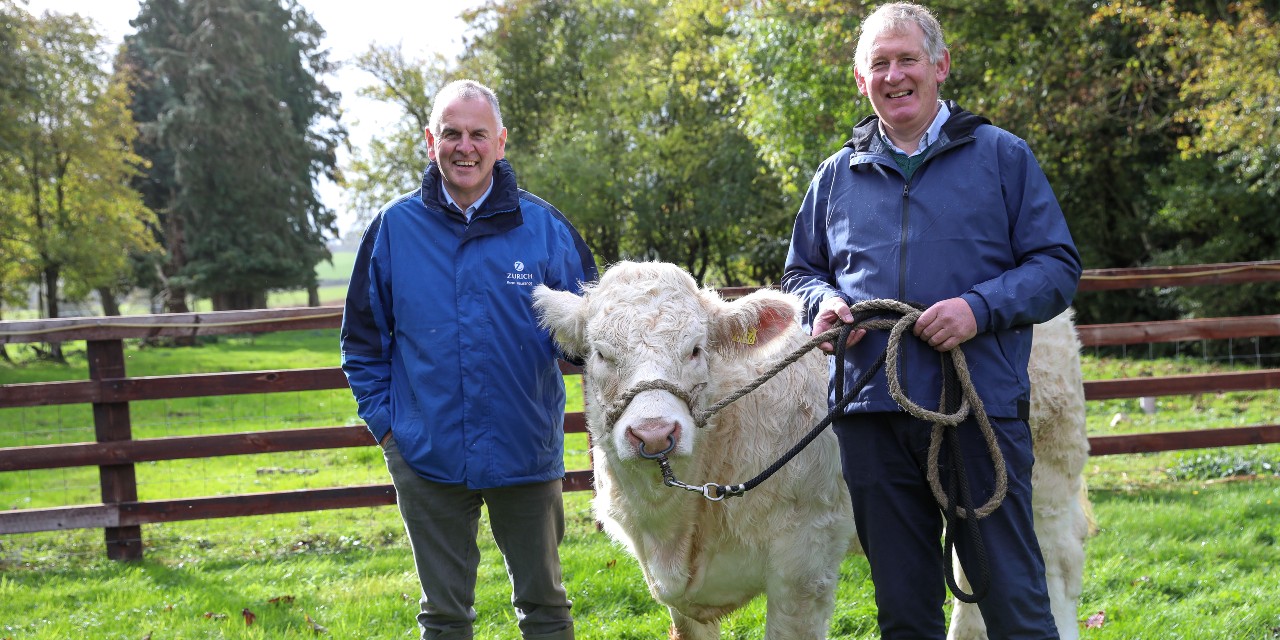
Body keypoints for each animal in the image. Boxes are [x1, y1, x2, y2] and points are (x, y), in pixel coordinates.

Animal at [532, 261, 1090, 640]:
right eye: (600, 353)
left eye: (695, 349)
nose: (653, 434)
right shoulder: (679, 599)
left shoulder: (804, 559)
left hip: (1046, 478)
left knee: (1057, 567)